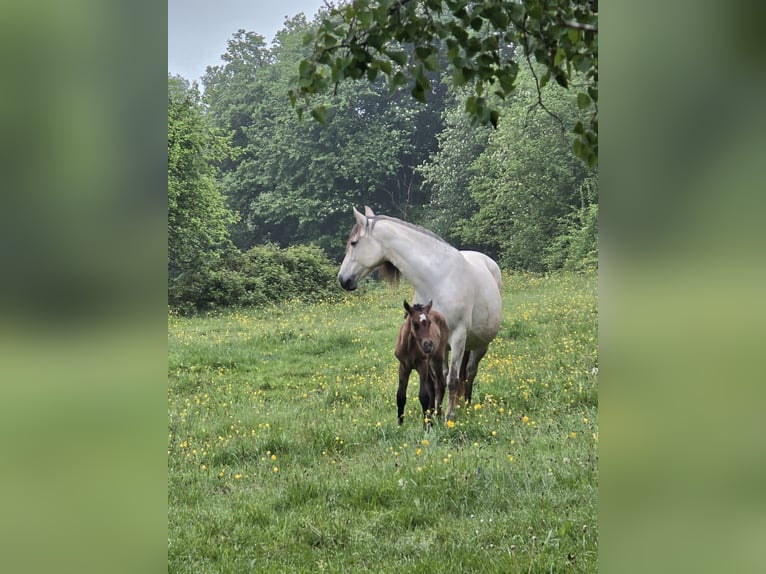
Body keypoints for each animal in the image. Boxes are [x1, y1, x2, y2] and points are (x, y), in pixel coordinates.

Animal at [338, 206, 502, 420]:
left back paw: (466, 406)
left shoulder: (458, 337)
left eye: (354, 243)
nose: (342, 279)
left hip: (480, 345)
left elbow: (452, 380)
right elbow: (434, 382)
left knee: (469, 373)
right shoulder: (429, 343)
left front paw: (448, 417)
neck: (438, 279)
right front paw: (433, 414)